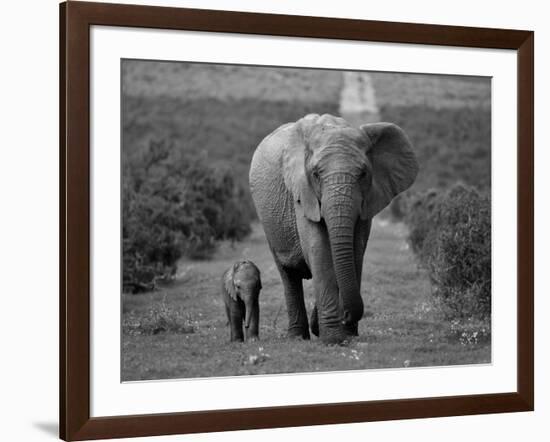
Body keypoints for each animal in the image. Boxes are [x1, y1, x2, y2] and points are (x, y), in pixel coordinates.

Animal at [250, 112, 418, 344]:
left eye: (363, 173)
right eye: (316, 174)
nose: (346, 315)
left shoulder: (367, 200)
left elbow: (355, 251)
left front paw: (346, 334)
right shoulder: (303, 194)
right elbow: (319, 250)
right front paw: (332, 339)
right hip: (268, 221)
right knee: (288, 274)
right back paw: (297, 337)